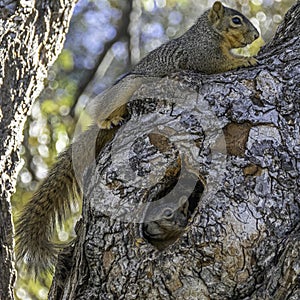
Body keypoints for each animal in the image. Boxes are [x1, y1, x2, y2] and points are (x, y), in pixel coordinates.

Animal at [14, 1, 258, 276]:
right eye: (236, 20)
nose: (256, 36)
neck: (209, 32)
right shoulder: (202, 53)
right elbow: (220, 62)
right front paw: (246, 59)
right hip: (127, 88)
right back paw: (107, 121)